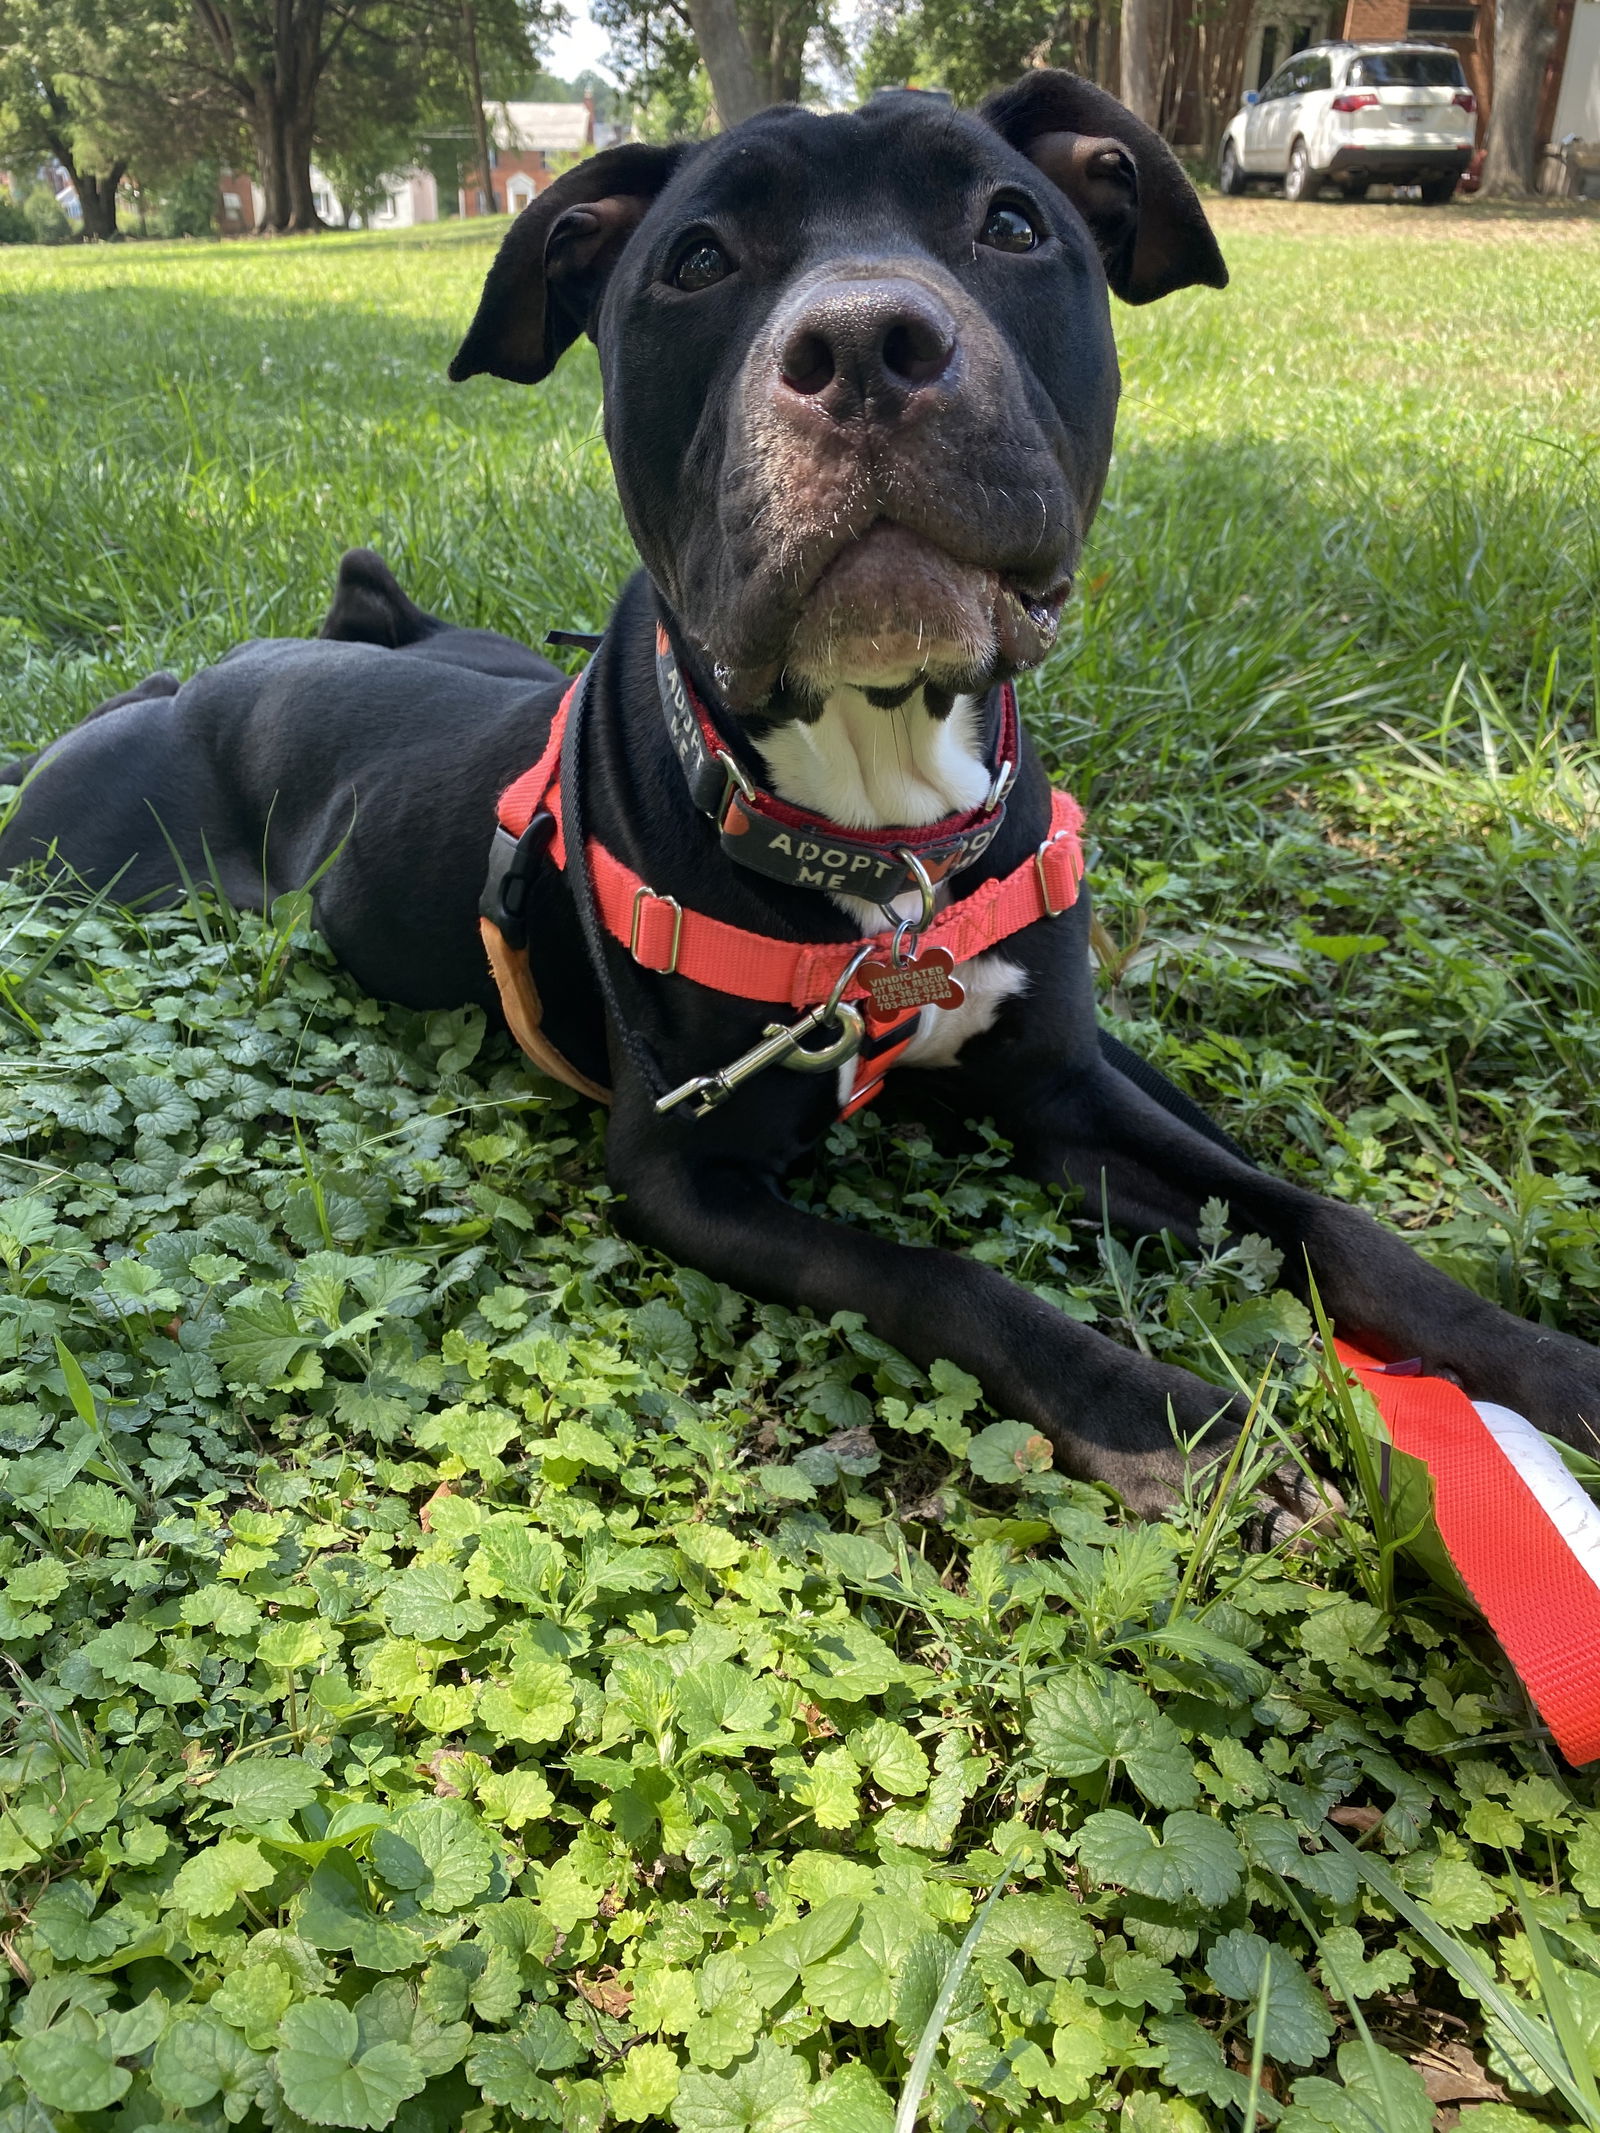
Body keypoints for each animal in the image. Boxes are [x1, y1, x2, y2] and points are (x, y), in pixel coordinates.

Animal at [6, 75, 1595, 1535]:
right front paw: (1168, 1419)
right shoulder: (686, 1171)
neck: (882, 834)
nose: (867, 347)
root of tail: (182, 682)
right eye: (696, 260)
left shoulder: (1065, 1092)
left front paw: (1544, 1368)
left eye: (1011, 222)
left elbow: (1314, 1217)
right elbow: (946, 1277)